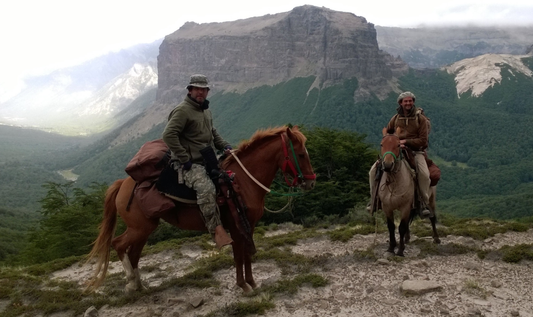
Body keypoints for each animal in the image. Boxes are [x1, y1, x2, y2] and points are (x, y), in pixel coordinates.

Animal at [85, 124, 314, 292]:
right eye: (301, 154)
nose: (311, 182)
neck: (242, 181)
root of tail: (122, 183)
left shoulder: (248, 227)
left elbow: (247, 254)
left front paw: (251, 283)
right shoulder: (237, 227)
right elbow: (239, 255)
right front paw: (243, 285)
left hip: (144, 229)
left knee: (133, 253)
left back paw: (139, 285)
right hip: (139, 228)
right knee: (118, 244)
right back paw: (131, 282)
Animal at [376, 125, 438, 254]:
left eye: (398, 145)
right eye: (381, 144)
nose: (388, 165)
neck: (393, 183)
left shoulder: (405, 207)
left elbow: (401, 227)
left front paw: (400, 250)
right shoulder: (387, 208)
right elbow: (391, 226)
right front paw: (391, 247)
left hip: (431, 199)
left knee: (432, 216)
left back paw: (436, 238)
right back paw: (406, 238)